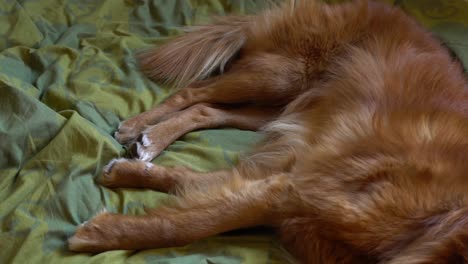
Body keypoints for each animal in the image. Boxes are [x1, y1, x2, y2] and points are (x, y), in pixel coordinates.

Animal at [67, 1, 468, 262]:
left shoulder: (297, 182)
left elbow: (199, 185)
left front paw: (127, 176)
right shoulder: (295, 191)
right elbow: (191, 224)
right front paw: (96, 236)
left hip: (281, 108)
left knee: (205, 110)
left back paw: (148, 145)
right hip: (279, 75)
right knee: (193, 92)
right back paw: (138, 127)